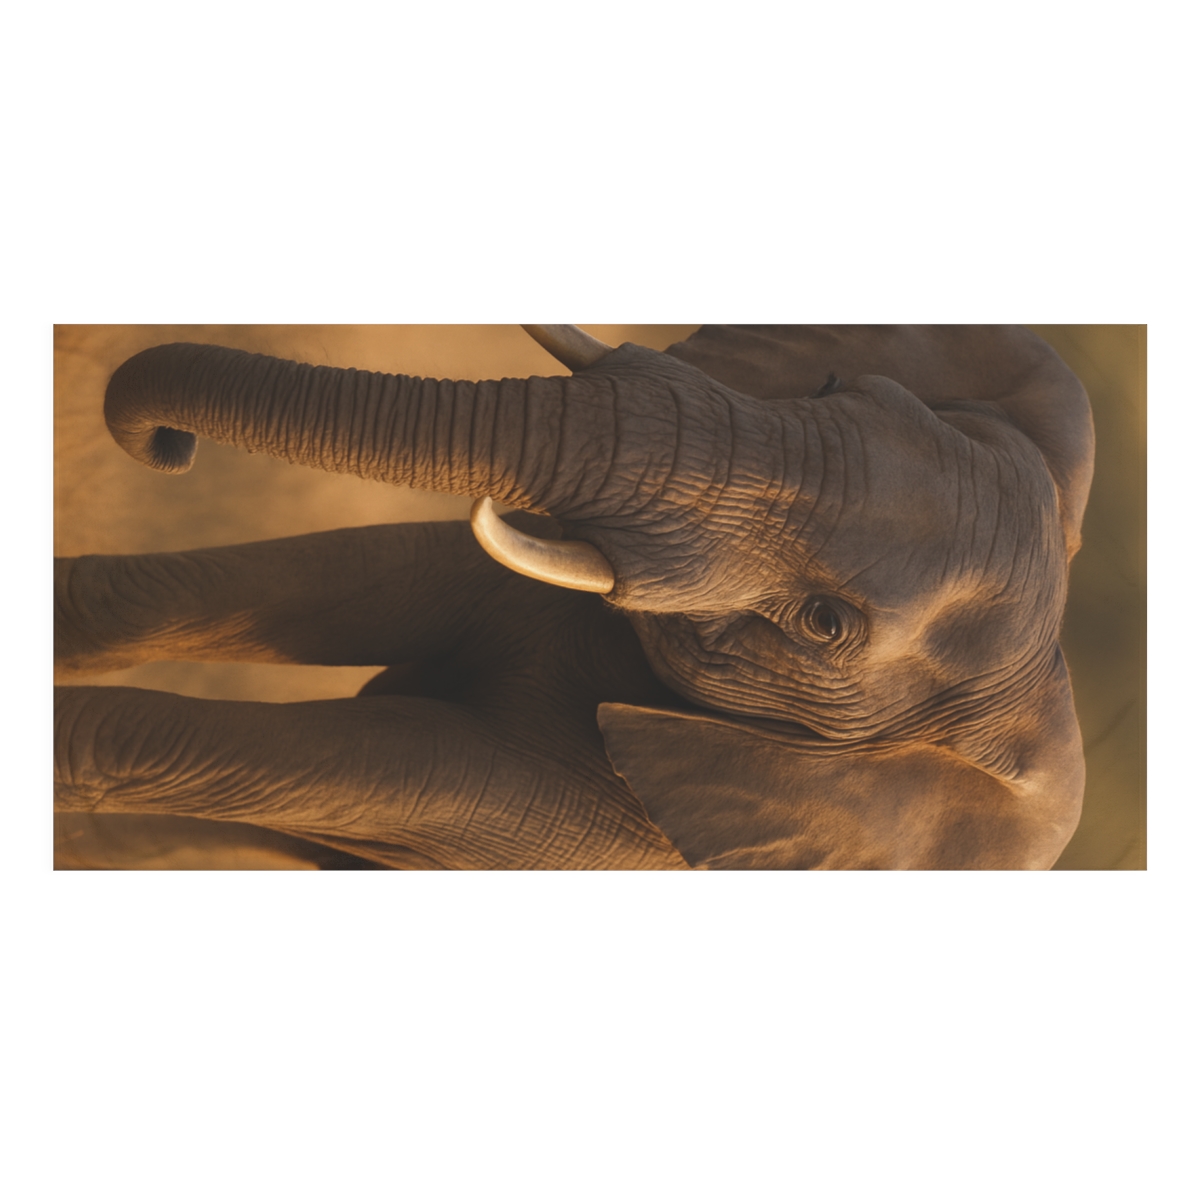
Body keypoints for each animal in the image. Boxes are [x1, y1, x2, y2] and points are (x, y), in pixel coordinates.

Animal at [53, 324, 1094, 869]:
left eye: (825, 623)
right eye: (837, 380)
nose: (167, 446)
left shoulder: (605, 816)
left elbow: (370, 761)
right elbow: (339, 579)